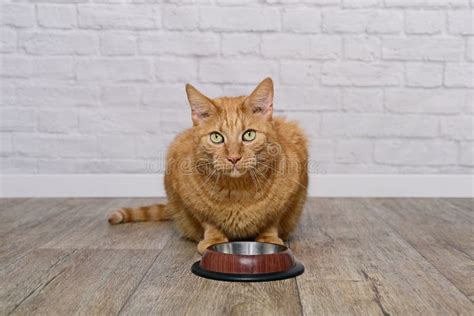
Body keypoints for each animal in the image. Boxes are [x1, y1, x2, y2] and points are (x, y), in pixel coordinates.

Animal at [107, 78, 308, 253]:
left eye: (249, 135)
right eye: (216, 137)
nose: (234, 158)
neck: (238, 190)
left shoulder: (290, 191)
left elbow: (272, 219)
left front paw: (268, 238)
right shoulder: (187, 195)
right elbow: (208, 221)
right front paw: (213, 240)